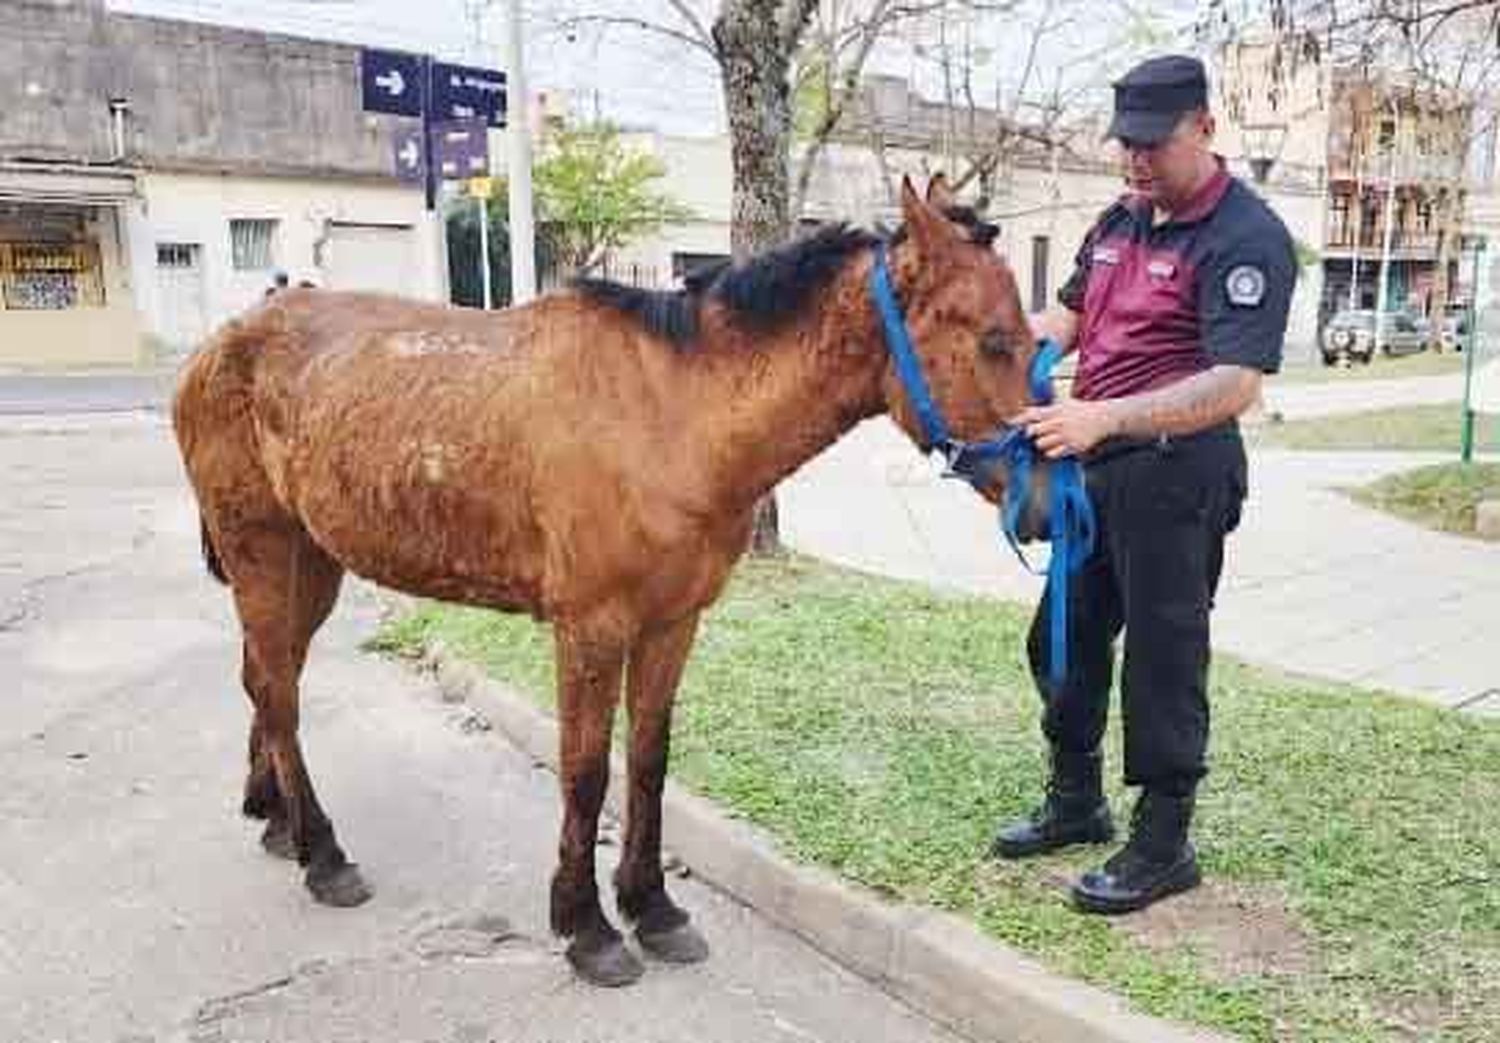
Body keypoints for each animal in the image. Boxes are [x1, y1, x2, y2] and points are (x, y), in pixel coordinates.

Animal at [172, 177, 1044, 984]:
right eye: (996, 339)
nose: (1043, 501)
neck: (676, 413)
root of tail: (216, 346)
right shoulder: (590, 627)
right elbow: (586, 770)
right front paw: (586, 924)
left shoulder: (673, 622)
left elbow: (649, 760)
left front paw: (652, 906)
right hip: (263, 553)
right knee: (278, 690)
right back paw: (322, 853)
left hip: (311, 563)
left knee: (268, 679)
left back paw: (278, 820)